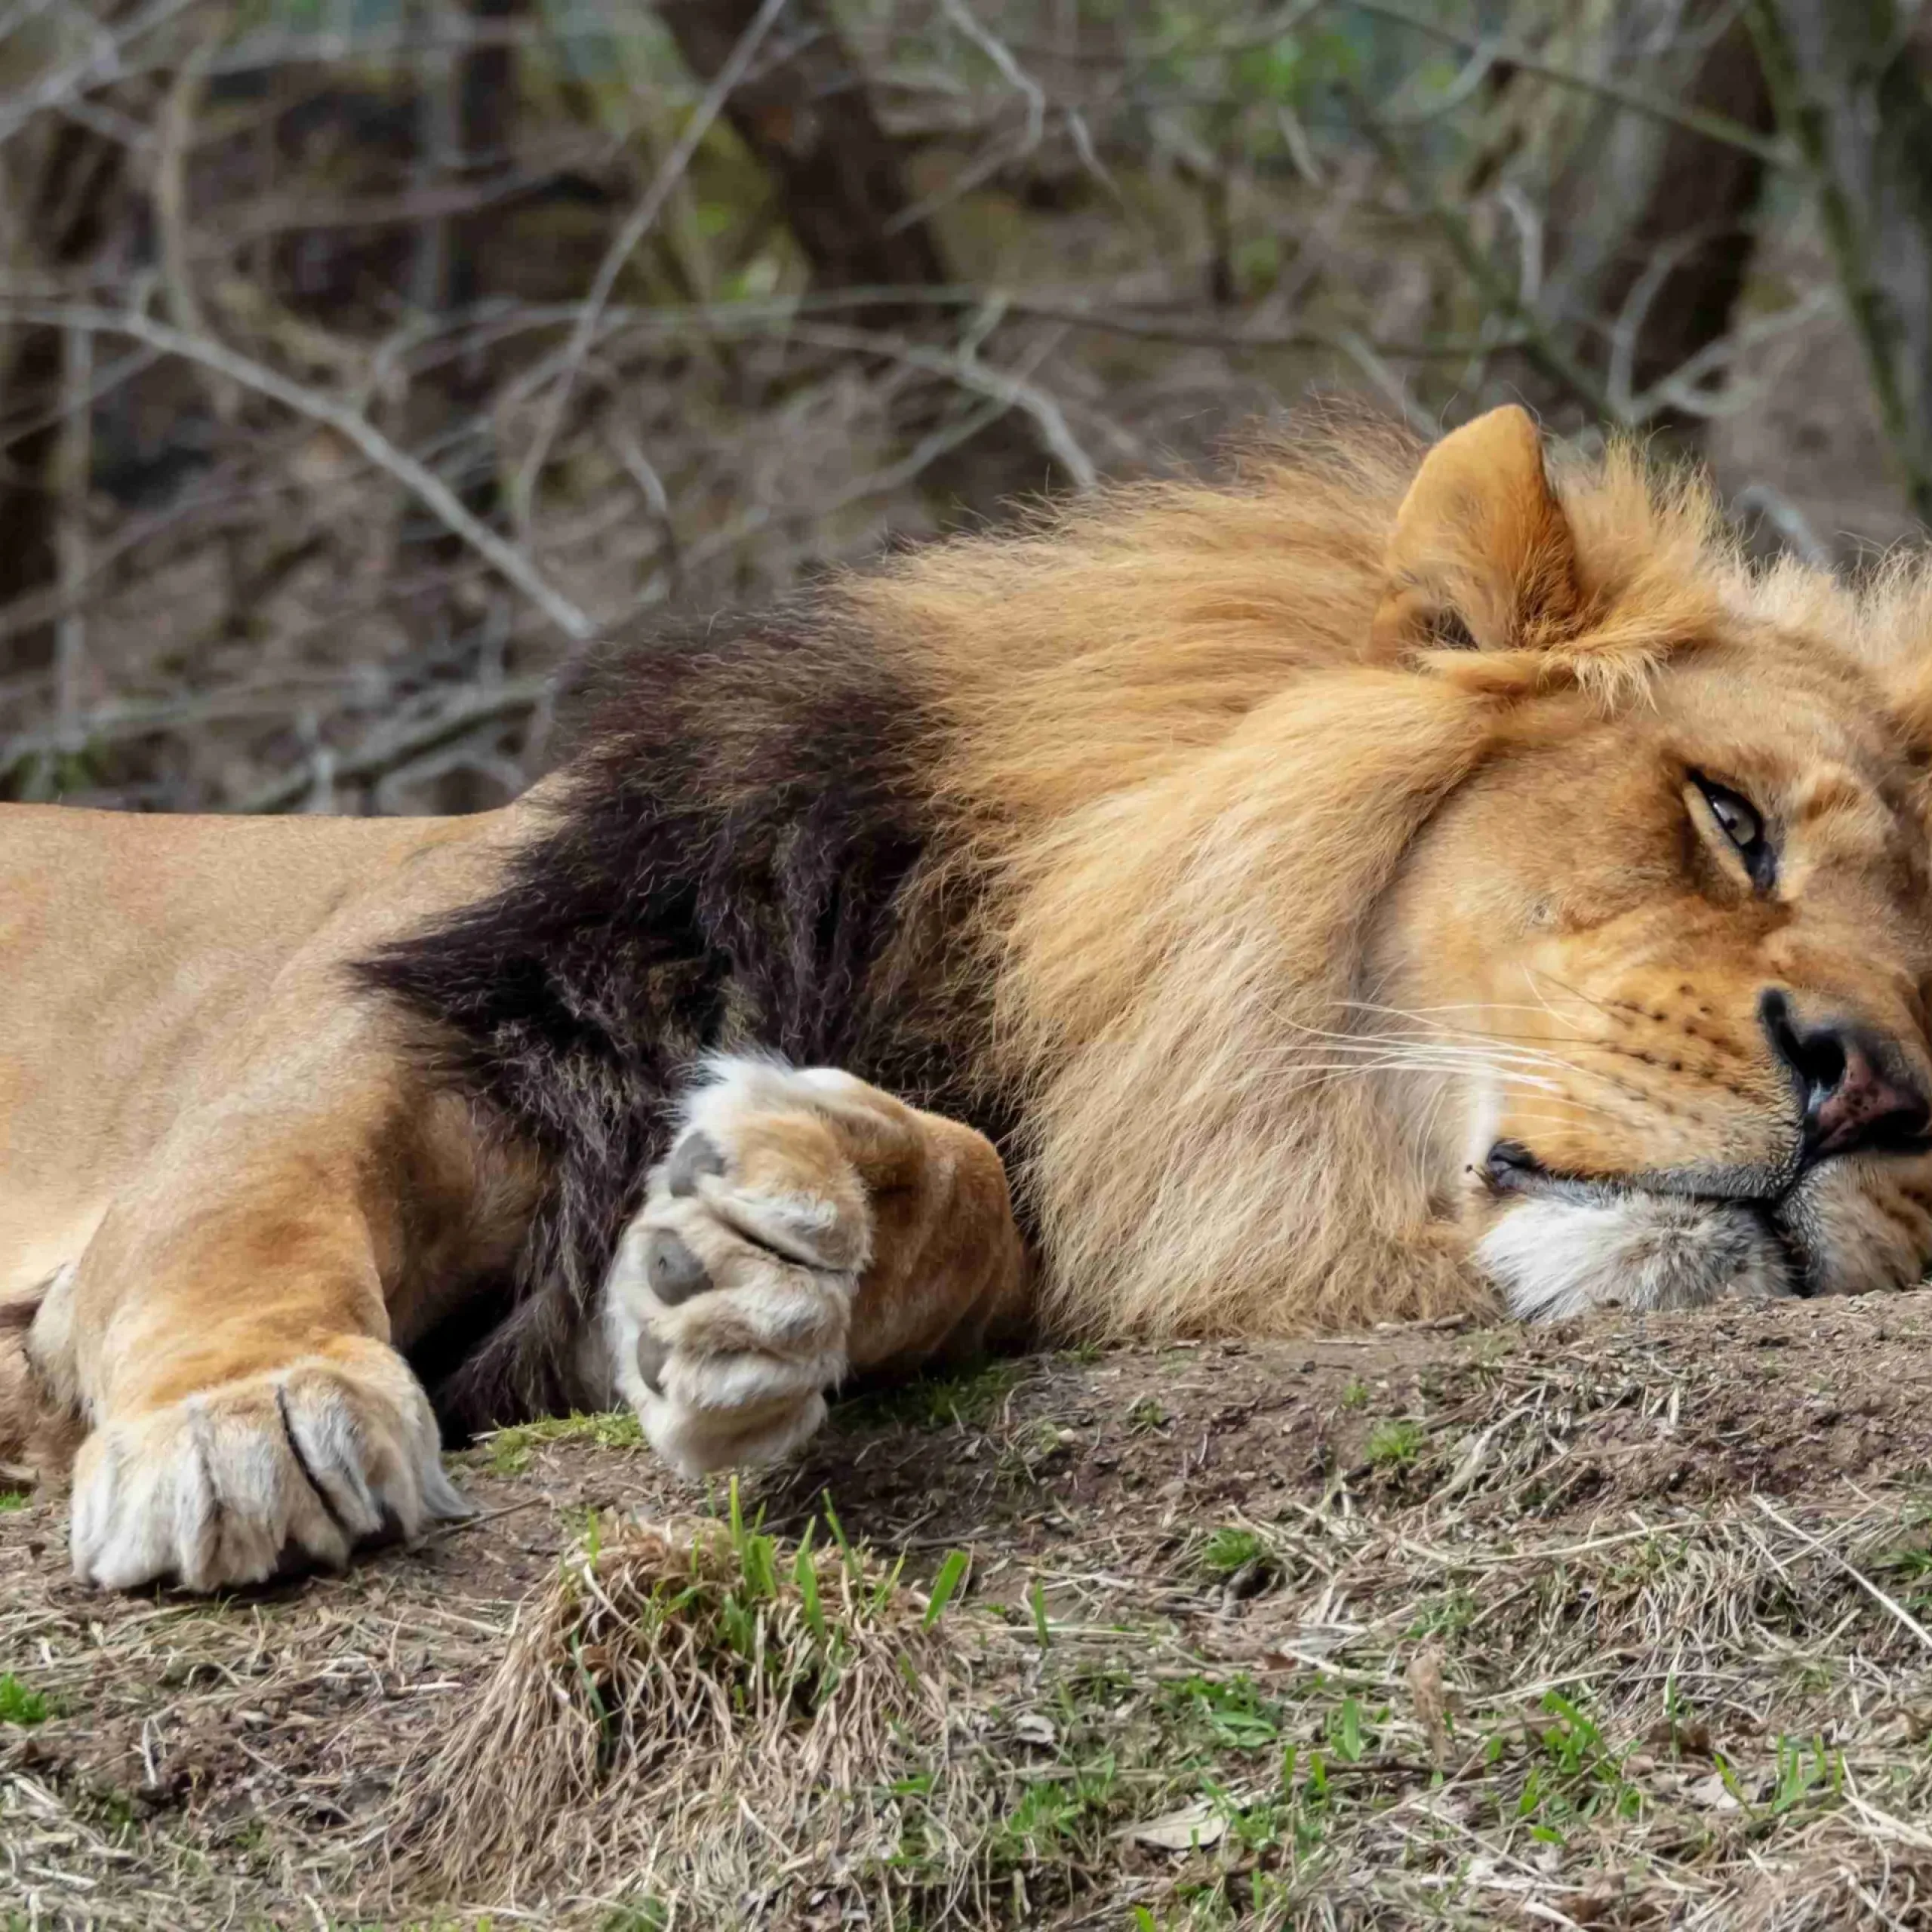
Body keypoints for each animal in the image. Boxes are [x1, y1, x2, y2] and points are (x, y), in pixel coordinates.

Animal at [8, 404, 1932, 1593]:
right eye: (1727, 818)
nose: (1868, 1086)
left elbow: (980, 1205)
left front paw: (773, 1248)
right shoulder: (437, 1014)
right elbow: (244, 1204)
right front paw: (251, 1420)